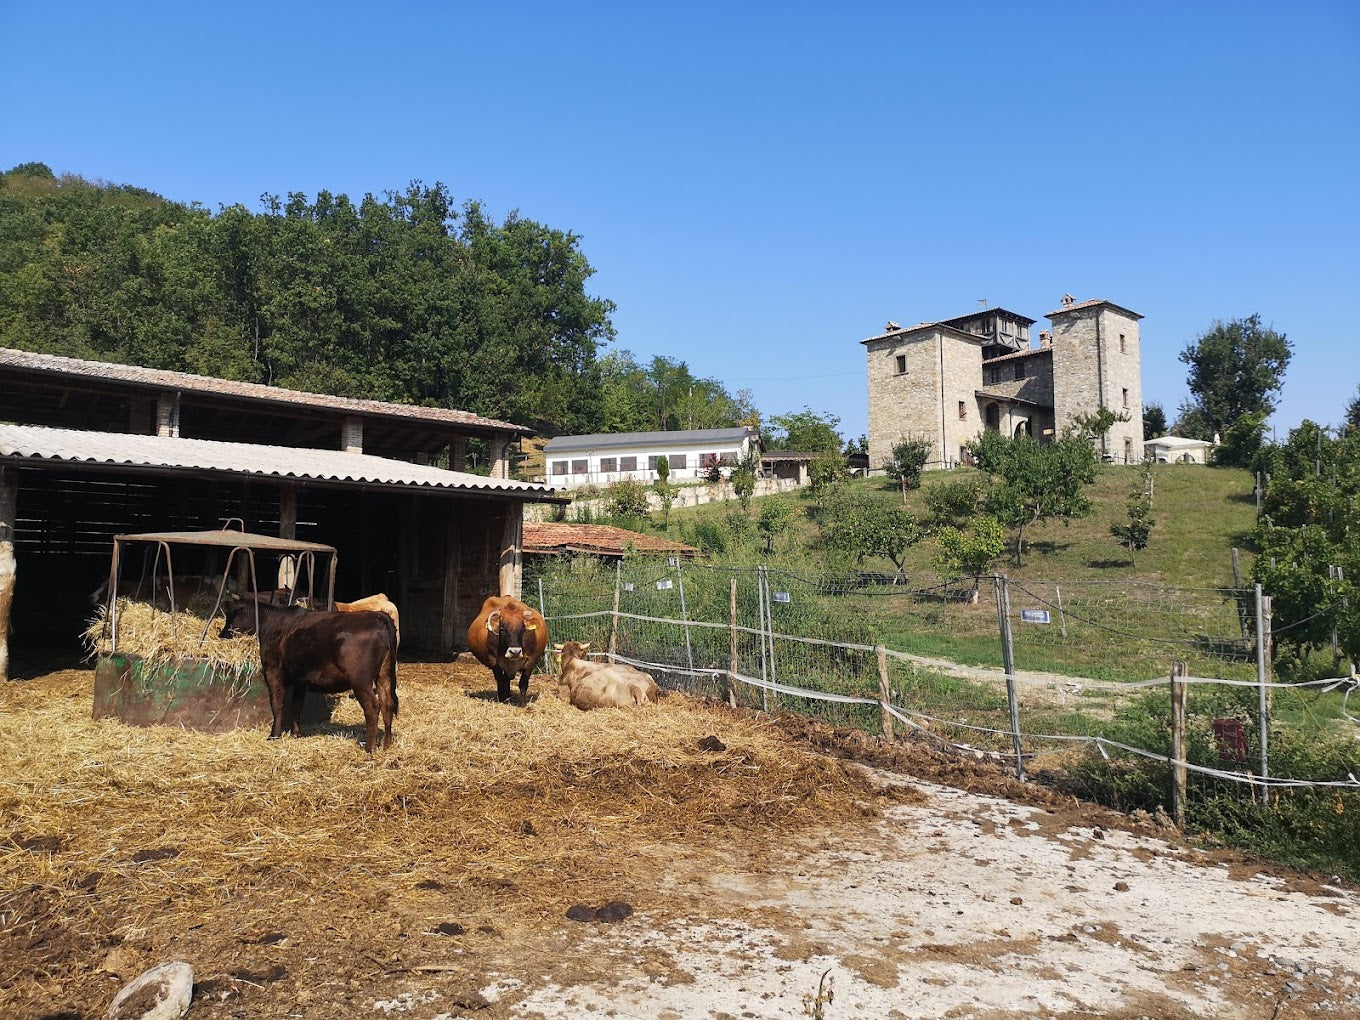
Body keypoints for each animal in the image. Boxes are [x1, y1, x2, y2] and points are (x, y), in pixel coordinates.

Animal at [223, 595, 397, 756]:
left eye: (231, 615)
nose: (221, 635)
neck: (272, 623)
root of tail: (379, 616)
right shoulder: (301, 680)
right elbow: (296, 706)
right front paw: (296, 734)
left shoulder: (273, 671)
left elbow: (277, 705)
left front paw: (274, 735)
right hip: (384, 675)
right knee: (387, 704)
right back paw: (387, 745)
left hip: (360, 680)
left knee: (372, 707)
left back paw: (370, 748)